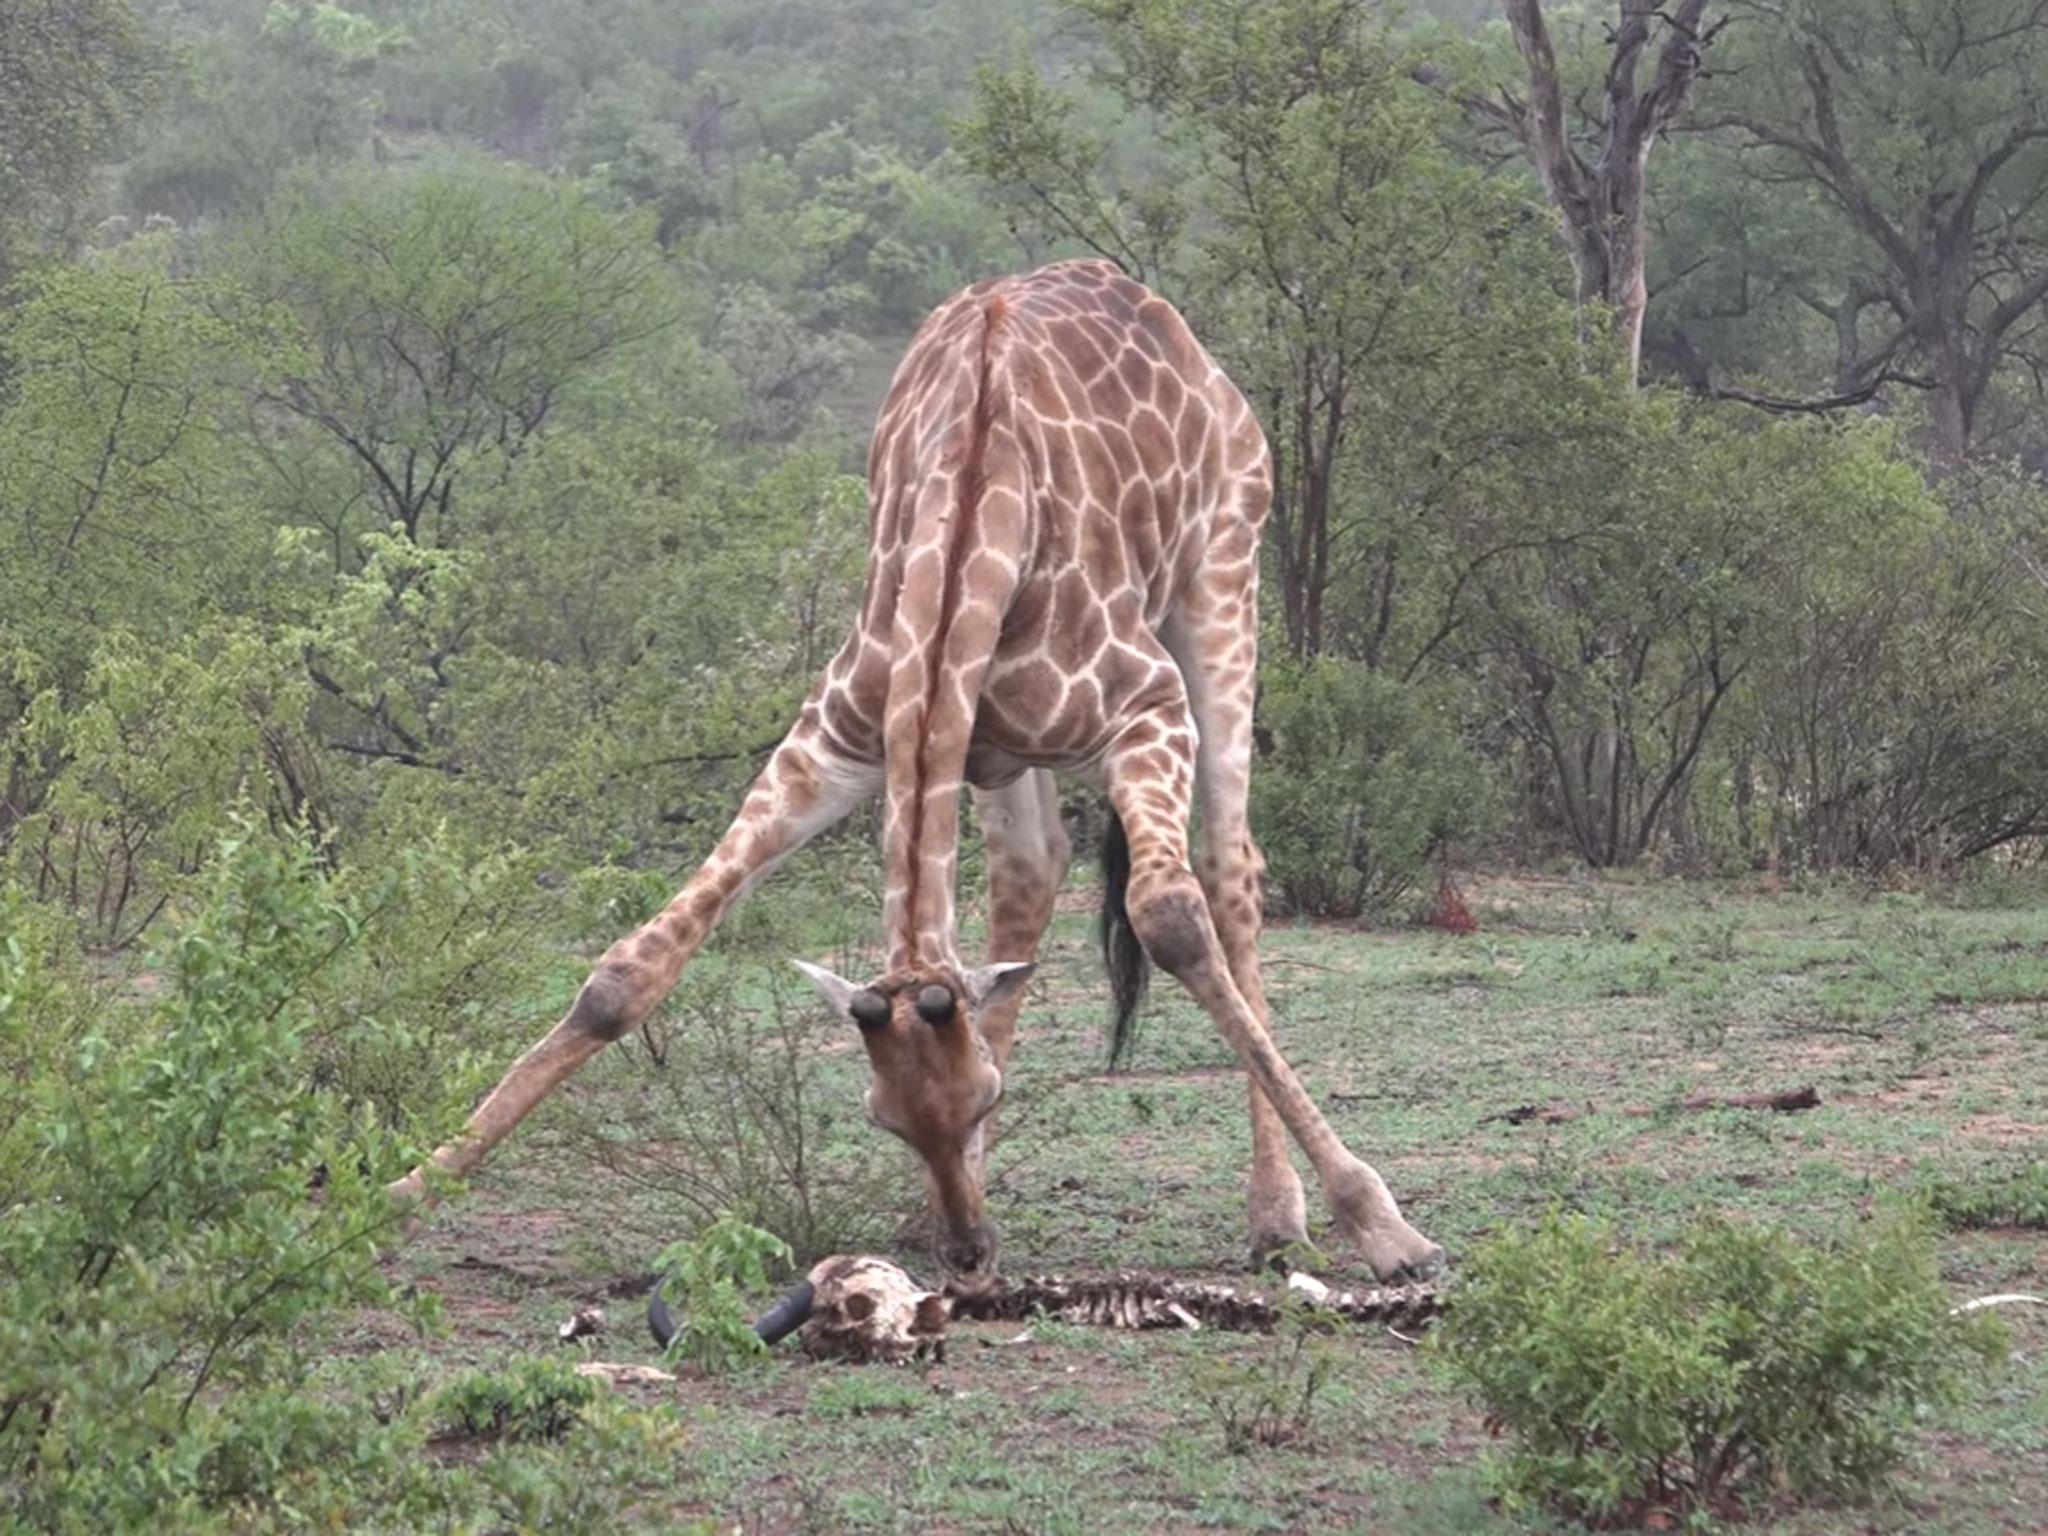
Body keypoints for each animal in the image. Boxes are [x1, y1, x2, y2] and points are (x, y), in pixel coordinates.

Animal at [391, 259, 1449, 1294]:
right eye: (884, 1118)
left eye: (988, 1098)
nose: (968, 1255)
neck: (968, 522)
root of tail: (1167, 321)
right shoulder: (834, 745)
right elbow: (628, 972)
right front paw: (410, 1187)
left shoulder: (1145, 707)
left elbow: (1173, 918)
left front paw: (1385, 1225)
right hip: (997, 751)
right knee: (1033, 869)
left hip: (1224, 582)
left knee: (1230, 873)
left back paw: (1278, 1217)